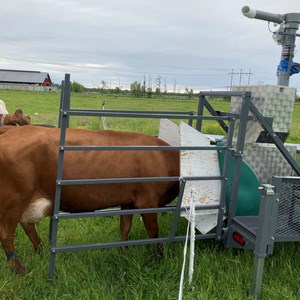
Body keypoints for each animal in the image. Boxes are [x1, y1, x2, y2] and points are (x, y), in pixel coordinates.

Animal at [0, 125, 178, 276]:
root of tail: (11, 130)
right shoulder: (147, 201)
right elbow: (154, 232)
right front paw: (160, 258)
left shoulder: (129, 202)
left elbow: (125, 227)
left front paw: (123, 252)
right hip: (14, 199)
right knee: (6, 234)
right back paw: (20, 270)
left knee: (27, 225)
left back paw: (41, 250)